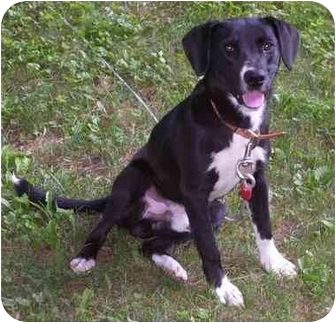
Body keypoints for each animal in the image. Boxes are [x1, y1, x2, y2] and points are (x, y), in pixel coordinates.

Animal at [11, 15, 300, 308]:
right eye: (229, 48)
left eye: (267, 46)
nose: (255, 78)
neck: (234, 124)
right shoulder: (195, 191)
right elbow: (209, 247)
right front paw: (222, 287)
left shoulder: (257, 179)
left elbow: (264, 228)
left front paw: (274, 264)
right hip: (131, 182)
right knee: (102, 226)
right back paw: (86, 257)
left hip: (214, 211)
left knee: (149, 246)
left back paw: (172, 267)